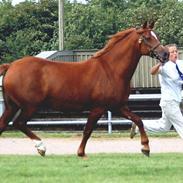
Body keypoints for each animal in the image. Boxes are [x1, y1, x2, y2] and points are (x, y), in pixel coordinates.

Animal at [0, 21, 169, 156]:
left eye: (156, 35)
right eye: (147, 37)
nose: (165, 54)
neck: (111, 70)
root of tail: (11, 66)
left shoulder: (118, 106)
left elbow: (138, 120)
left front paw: (145, 148)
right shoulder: (98, 108)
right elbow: (87, 130)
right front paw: (81, 153)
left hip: (12, 106)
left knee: (4, 125)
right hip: (29, 106)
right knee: (19, 123)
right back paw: (41, 147)